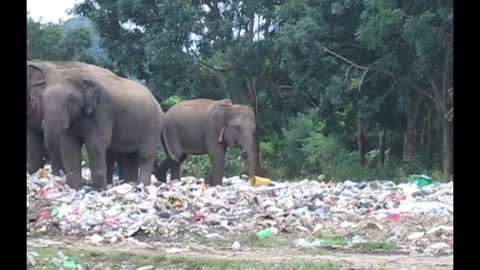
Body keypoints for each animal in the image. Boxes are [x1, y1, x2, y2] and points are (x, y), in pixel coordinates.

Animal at [28, 62, 163, 190]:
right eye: (42, 98)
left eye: (71, 99)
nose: (58, 178)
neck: (81, 75)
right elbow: (69, 146)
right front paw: (75, 189)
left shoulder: (103, 111)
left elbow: (96, 145)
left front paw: (99, 189)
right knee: (130, 157)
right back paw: (129, 184)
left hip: (153, 127)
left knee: (145, 155)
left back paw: (141, 185)